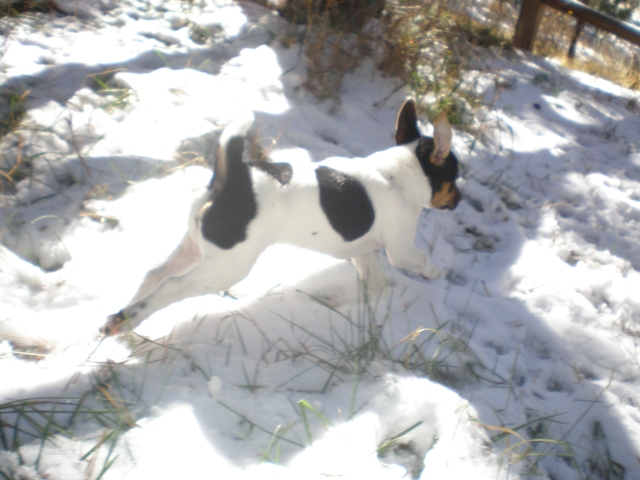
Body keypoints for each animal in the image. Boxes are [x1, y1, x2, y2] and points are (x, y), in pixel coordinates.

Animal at [101, 99, 460, 336]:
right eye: (455, 178)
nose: (459, 199)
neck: (401, 170)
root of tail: (234, 179)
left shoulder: (362, 251)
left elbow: (373, 282)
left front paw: (369, 303)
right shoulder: (401, 248)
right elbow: (419, 260)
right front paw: (435, 272)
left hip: (196, 245)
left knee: (154, 274)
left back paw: (120, 319)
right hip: (226, 267)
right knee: (170, 286)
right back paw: (127, 320)